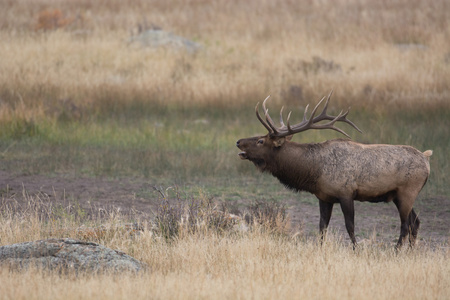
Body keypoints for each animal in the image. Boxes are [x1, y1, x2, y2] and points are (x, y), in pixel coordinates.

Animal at [239, 91, 432, 248]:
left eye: (261, 141)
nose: (238, 141)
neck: (315, 172)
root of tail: (426, 159)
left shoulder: (346, 193)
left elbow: (350, 227)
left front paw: (356, 250)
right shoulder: (324, 197)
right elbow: (322, 227)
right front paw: (320, 249)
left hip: (407, 192)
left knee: (405, 225)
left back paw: (396, 251)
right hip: (399, 196)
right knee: (415, 222)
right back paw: (410, 252)